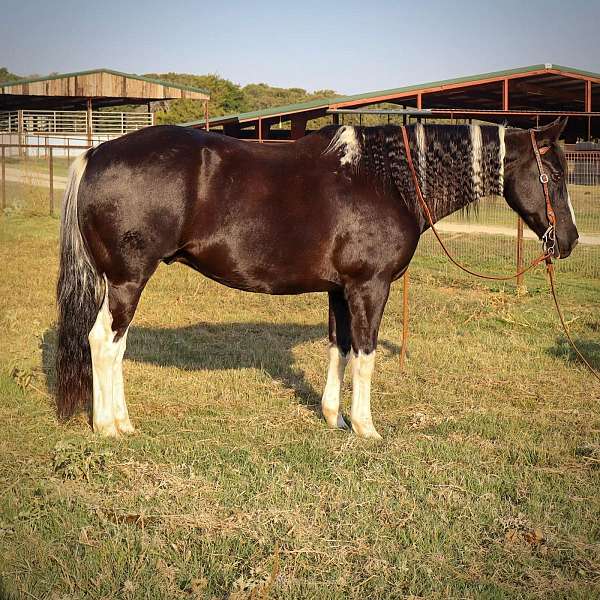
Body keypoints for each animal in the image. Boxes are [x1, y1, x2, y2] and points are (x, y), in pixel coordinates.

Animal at [55, 117, 576, 438]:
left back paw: (121, 421)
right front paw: (366, 427)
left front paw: (334, 418)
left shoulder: (340, 291)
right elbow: (365, 355)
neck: (386, 180)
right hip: (127, 281)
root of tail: (95, 155)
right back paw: (109, 426)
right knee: (104, 342)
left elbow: (339, 349)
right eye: (553, 173)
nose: (568, 240)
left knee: (115, 345)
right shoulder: (370, 286)